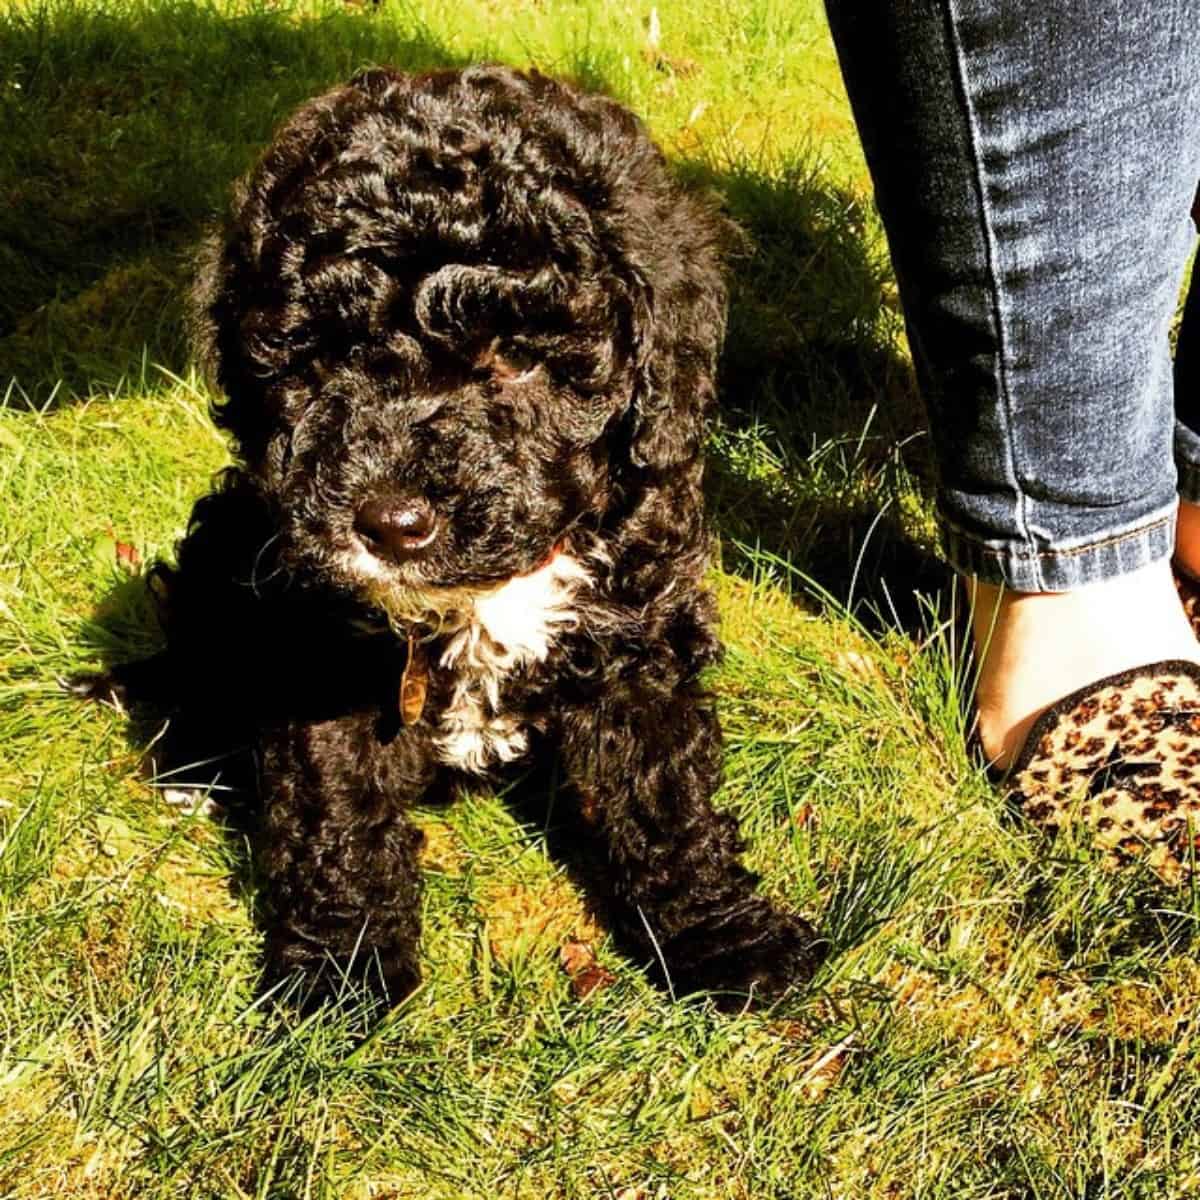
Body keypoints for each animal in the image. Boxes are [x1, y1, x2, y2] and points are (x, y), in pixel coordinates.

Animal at [75, 63, 820, 1003]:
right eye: (321, 358)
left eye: (518, 356)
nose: (391, 524)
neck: (487, 592)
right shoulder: (321, 658)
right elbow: (338, 818)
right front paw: (342, 966)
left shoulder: (637, 635)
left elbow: (664, 795)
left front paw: (723, 936)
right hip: (228, 548)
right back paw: (196, 761)